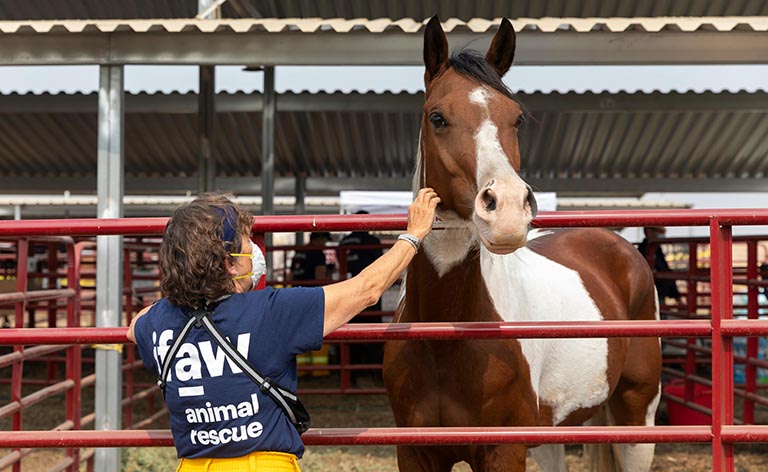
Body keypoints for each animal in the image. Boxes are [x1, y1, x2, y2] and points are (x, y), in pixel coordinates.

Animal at [384, 16, 664, 470]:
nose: (509, 210)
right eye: (437, 117)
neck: (445, 336)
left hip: (637, 417)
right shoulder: (415, 453)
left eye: (516, 119)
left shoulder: (504, 449)